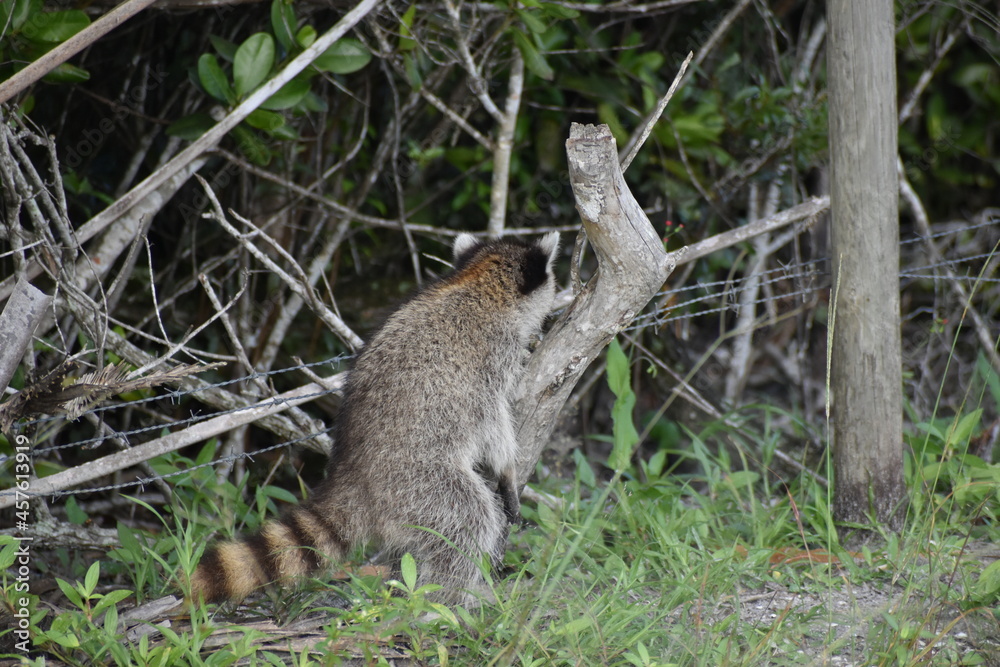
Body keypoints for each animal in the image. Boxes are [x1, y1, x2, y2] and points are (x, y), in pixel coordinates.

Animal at [188, 232, 560, 606]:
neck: (480, 283)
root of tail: (352, 476)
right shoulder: (490, 360)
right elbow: (494, 424)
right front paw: (508, 471)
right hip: (418, 483)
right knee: (468, 519)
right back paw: (451, 594)